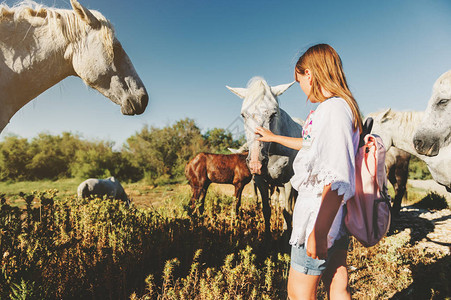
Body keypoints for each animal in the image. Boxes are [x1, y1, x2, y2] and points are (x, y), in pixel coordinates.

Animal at [228, 76, 302, 233]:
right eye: (243, 115)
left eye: (273, 114)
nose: (256, 164)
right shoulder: (261, 181)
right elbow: (267, 211)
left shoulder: (289, 182)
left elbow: (288, 213)